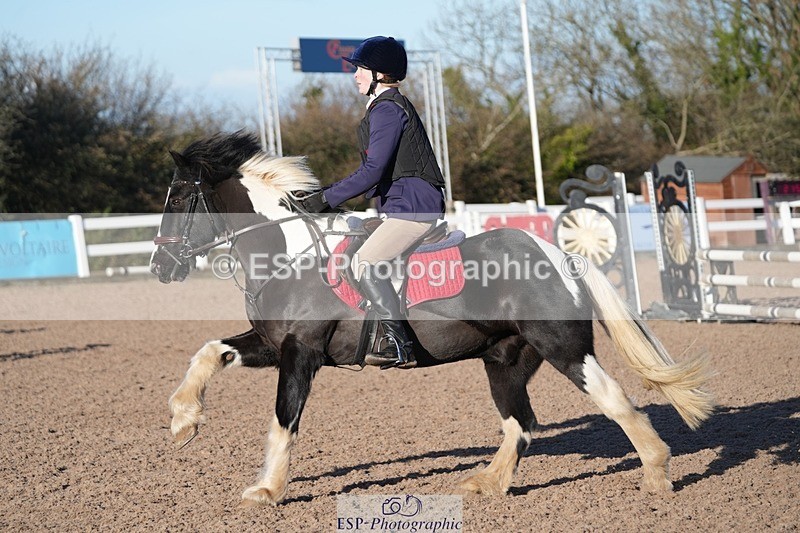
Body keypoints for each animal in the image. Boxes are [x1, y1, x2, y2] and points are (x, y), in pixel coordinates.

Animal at [150, 131, 713, 507]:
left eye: (178, 197)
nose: (160, 268)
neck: (288, 254)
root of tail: (560, 256)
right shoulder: (270, 345)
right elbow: (208, 351)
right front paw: (183, 421)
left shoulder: (300, 353)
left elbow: (284, 419)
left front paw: (266, 488)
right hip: (506, 360)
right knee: (520, 425)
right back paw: (485, 484)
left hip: (564, 350)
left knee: (612, 400)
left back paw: (657, 474)